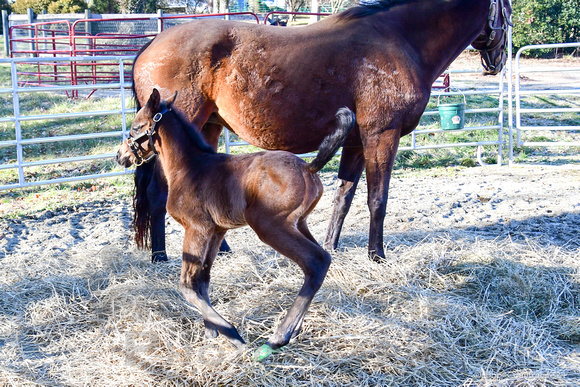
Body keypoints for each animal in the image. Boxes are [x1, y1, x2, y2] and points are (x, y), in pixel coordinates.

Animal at [116, 89, 356, 362]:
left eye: (136, 127)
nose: (120, 156)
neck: (189, 169)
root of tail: (309, 167)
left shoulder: (196, 229)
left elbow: (187, 285)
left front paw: (232, 334)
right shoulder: (217, 231)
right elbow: (203, 279)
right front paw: (212, 332)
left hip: (269, 226)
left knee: (317, 261)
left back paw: (277, 338)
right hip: (299, 224)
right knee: (321, 259)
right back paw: (294, 329)